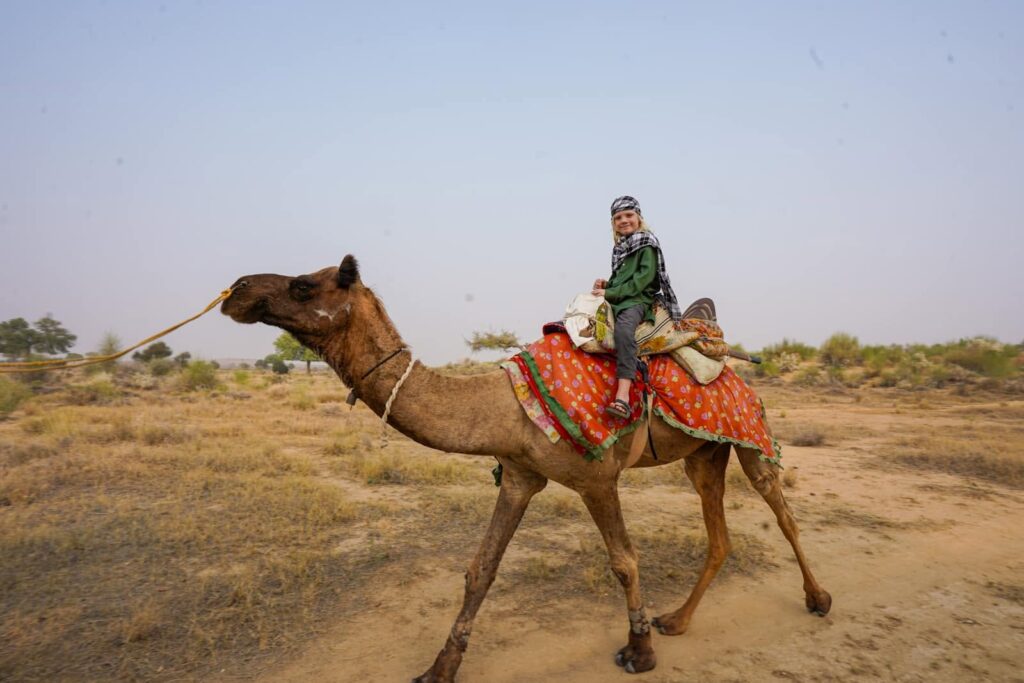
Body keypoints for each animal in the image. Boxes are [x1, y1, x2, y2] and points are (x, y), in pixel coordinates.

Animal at [221, 255, 832, 682]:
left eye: (304, 285)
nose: (237, 290)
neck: (504, 407)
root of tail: (732, 366)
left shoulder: (597, 479)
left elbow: (624, 561)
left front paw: (638, 651)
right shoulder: (518, 475)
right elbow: (480, 569)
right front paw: (439, 668)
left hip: (749, 432)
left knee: (781, 509)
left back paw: (818, 599)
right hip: (704, 454)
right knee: (719, 532)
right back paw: (677, 620)